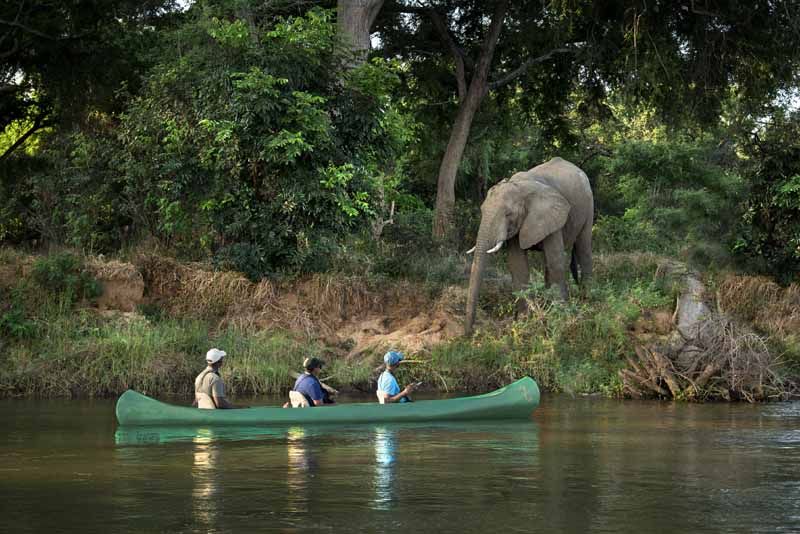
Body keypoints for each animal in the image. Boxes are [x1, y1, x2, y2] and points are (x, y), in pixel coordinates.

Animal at [464, 157, 594, 335]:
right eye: (482, 211)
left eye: (508, 214)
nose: (469, 333)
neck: (519, 187)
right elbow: (517, 265)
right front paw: (524, 322)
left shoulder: (549, 214)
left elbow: (556, 261)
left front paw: (561, 318)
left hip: (588, 202)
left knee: (583, 246)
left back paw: (588, 298)